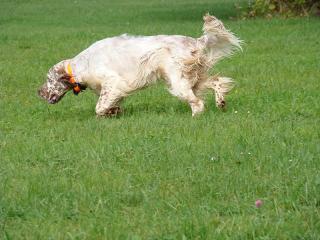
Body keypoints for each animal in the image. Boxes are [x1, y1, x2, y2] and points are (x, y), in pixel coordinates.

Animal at [38, 14, 241, 117]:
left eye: (48, 79)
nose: (38, 92)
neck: (81, 65)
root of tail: (195, 41)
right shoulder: (115, 89)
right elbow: (112, 104)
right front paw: (114, 111)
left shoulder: (112, 82)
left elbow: (100, 107)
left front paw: (107, 112)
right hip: (194, 79)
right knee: (217, 81)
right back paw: (221, 102)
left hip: (178, 83)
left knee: (197, 103)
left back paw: (195, 118)